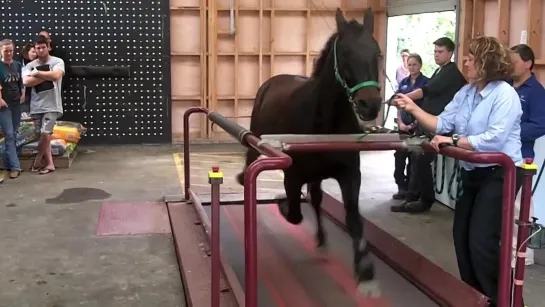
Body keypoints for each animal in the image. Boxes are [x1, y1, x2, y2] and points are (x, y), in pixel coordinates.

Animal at [235, 8, 382, 298]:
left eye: (377, 53)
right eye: (345, 53)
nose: (369, 105)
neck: (324, 121)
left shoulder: (350, 175)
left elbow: (353, 218)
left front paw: (365, 272)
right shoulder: (292, 176)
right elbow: (293, 212)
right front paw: (280, 203)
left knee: (315, 200)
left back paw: (322, 241)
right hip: (255, 142)